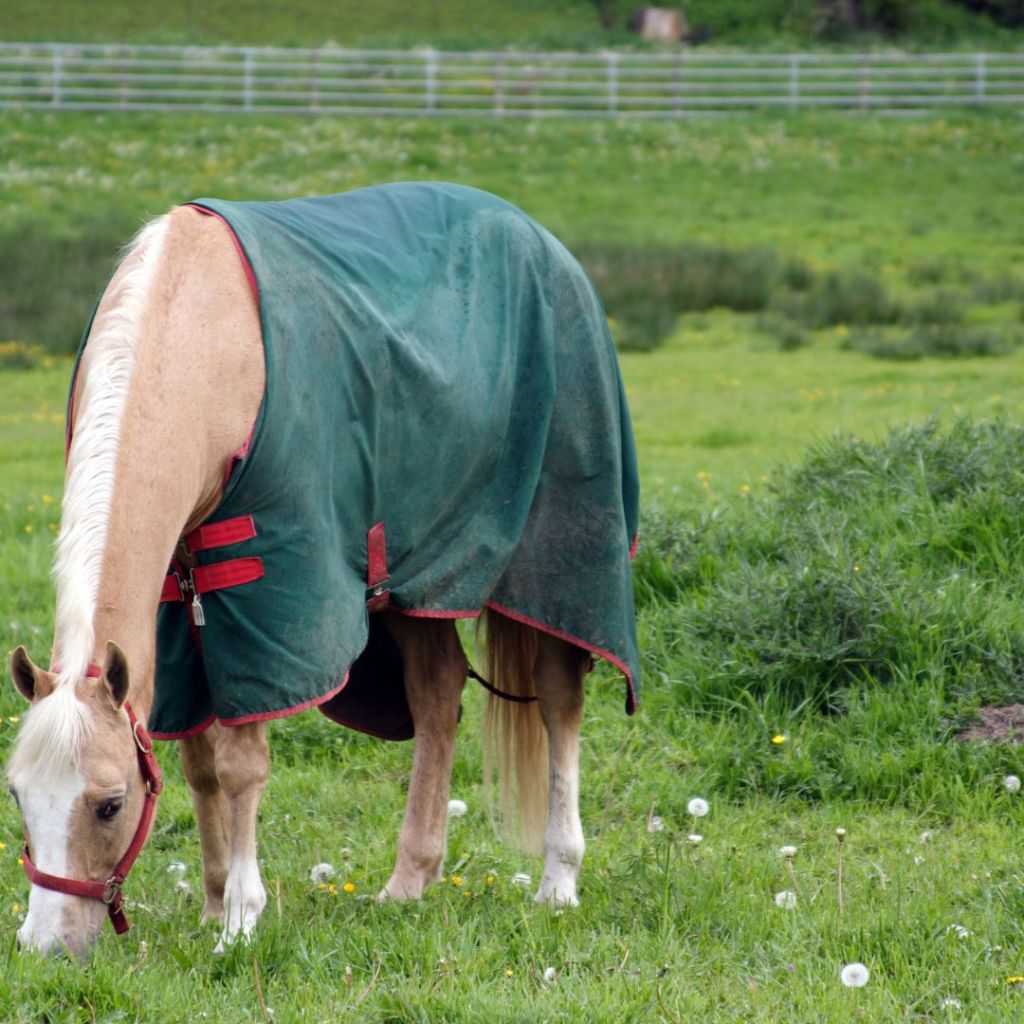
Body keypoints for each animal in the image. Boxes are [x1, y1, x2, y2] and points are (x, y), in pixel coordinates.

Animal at [6, 183, 639, 958]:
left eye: (108, 805)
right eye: (17, 795)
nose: (45, 945)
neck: (201, 338)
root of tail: (545, 242)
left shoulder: (268, 588)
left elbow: (242, 764)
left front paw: (241, 918)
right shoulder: (180, 598)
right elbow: (197, 760)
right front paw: (213, 902)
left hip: (553, 561)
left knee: (557, 697)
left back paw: (558, 879)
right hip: (415, 584)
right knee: (437, 691)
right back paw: (409, 880)